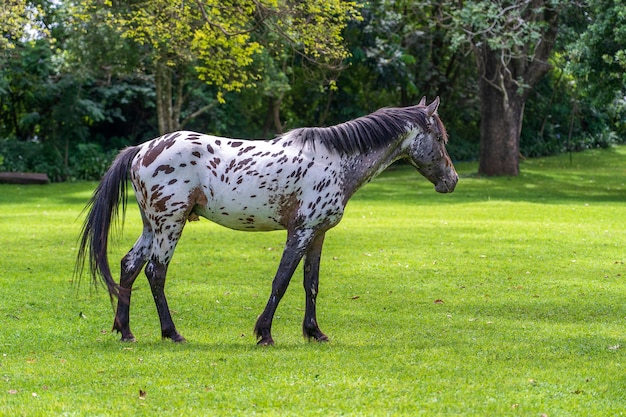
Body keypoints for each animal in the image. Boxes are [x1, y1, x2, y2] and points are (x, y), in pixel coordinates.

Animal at [77, 96, 458, 344]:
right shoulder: (301, 232)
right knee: (156, 272)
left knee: (129, 265)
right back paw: (172, 333)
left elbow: (310, 284)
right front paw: (264, 333)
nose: (451, 181)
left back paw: (126, 331)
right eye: (441, 138)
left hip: (152, 226)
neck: (336, 160)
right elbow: (281, 281)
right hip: (170, 225)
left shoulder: (318, 234)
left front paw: (314, 332)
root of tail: (141, 150)